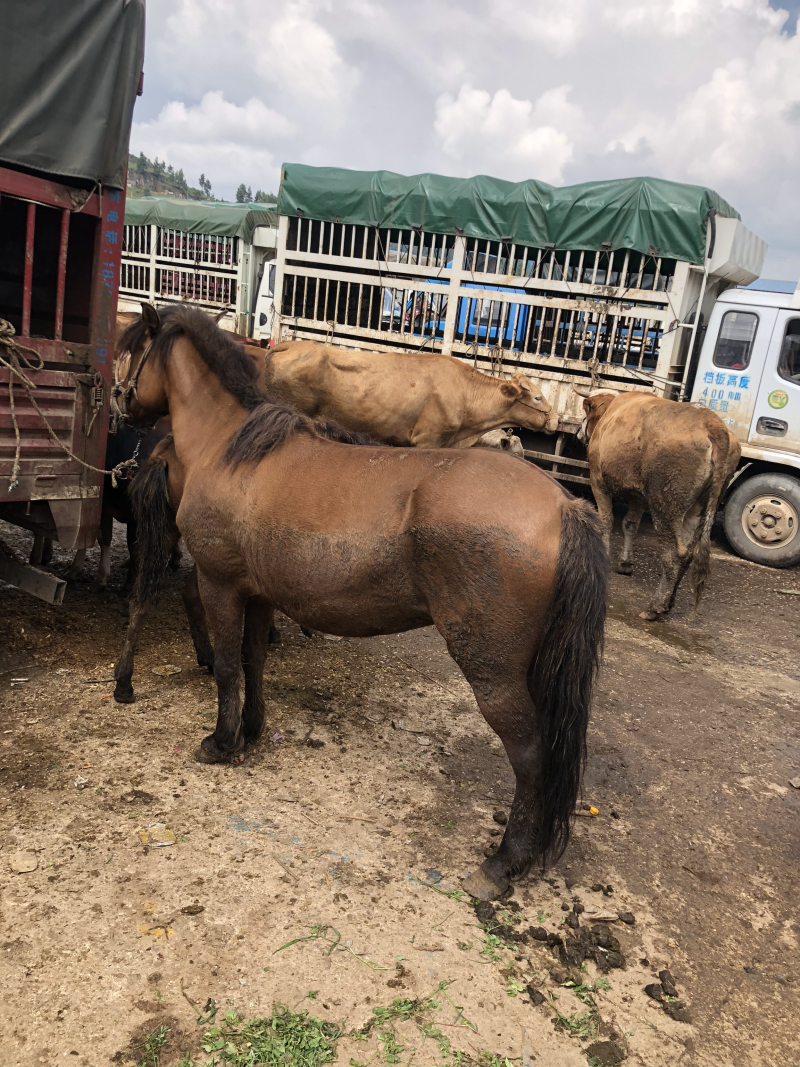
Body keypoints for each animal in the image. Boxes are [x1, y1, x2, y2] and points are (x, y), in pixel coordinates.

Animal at [115, 303, 608, 901]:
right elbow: (254, 662)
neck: (230, 449)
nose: (116, 401)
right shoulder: (259, 593)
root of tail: (564, 505)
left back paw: (502, 863)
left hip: (494, 670)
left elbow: (229, 666)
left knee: (532, 756)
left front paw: (220, 742)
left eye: (130, 350)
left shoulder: (220, 584)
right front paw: (252, 732)